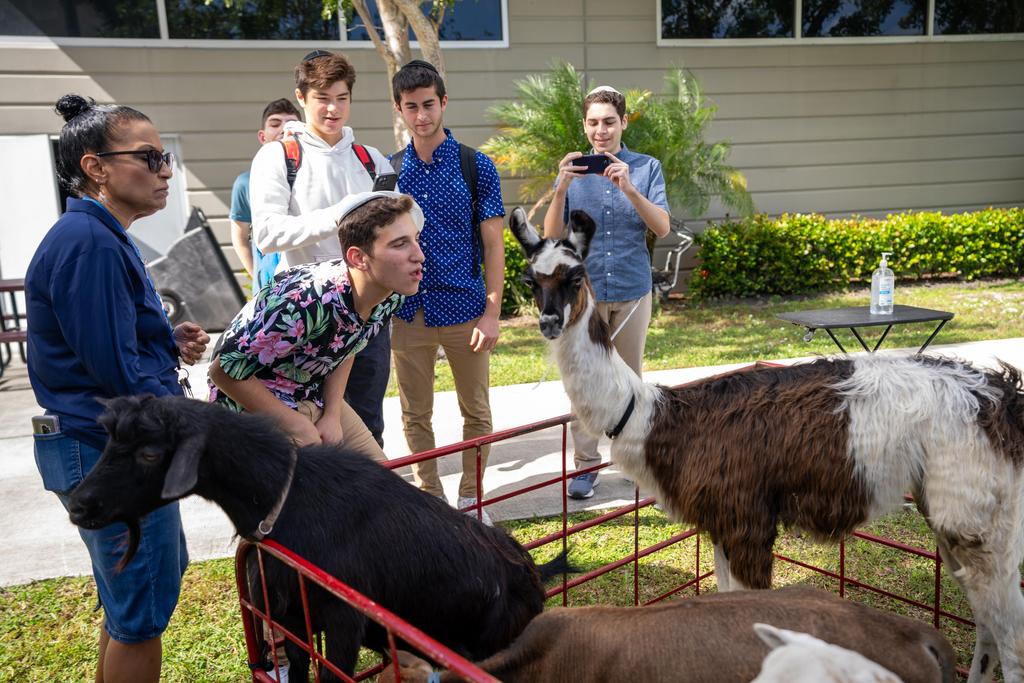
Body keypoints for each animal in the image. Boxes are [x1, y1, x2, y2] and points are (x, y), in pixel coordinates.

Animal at [66, 394, 569, 682]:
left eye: (151, 453)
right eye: (108, 441)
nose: (79, 505)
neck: (290, 497)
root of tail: (533, 574)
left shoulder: (345, 622)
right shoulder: (293, 617)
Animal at [508, 206, 1024, 683]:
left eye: (575, 276)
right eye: (530, 279)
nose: (549, 321)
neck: (652, 416)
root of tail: (1001, 396)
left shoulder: (747, 518)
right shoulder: (720, 520)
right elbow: (727, 599)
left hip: (977, 514)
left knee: (1010, 631)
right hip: (952, 511)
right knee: (986, 620)